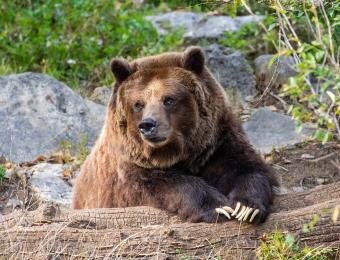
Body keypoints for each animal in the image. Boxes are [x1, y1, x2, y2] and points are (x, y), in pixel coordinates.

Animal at [73, 46, 278, 223]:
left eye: (169, 99)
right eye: (138, 103)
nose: (148, 125)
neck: (175, 153)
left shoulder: (217, 143)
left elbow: (247, 167)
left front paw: (246, 208)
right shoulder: (129, 169)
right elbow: (162, 185)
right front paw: (218, 207)